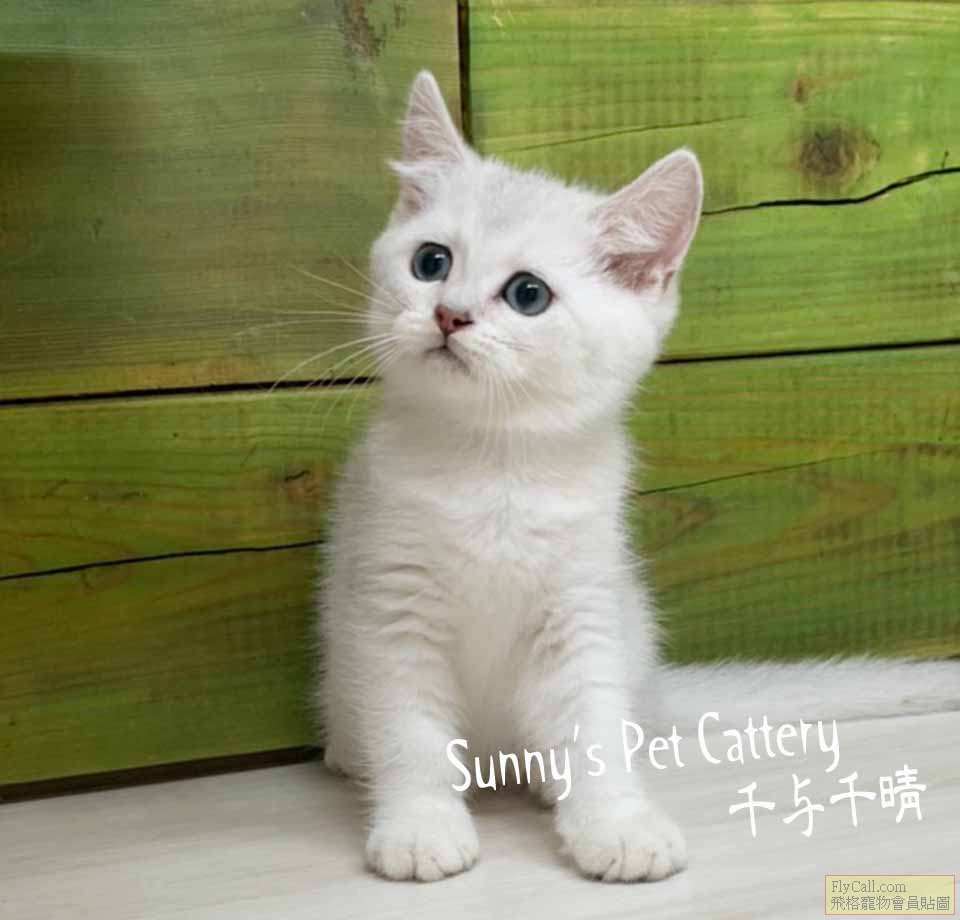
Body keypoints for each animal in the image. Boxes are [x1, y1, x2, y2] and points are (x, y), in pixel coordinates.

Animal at [316, 71, 960, 883]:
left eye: (528, 295)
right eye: (430, 262)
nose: (449, 315)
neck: (496, 464)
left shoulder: (583, 604)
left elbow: (590, 725)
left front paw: (616, 824)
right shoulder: (392, 605)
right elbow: (411, 732)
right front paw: (420, 826)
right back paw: (351, 754)